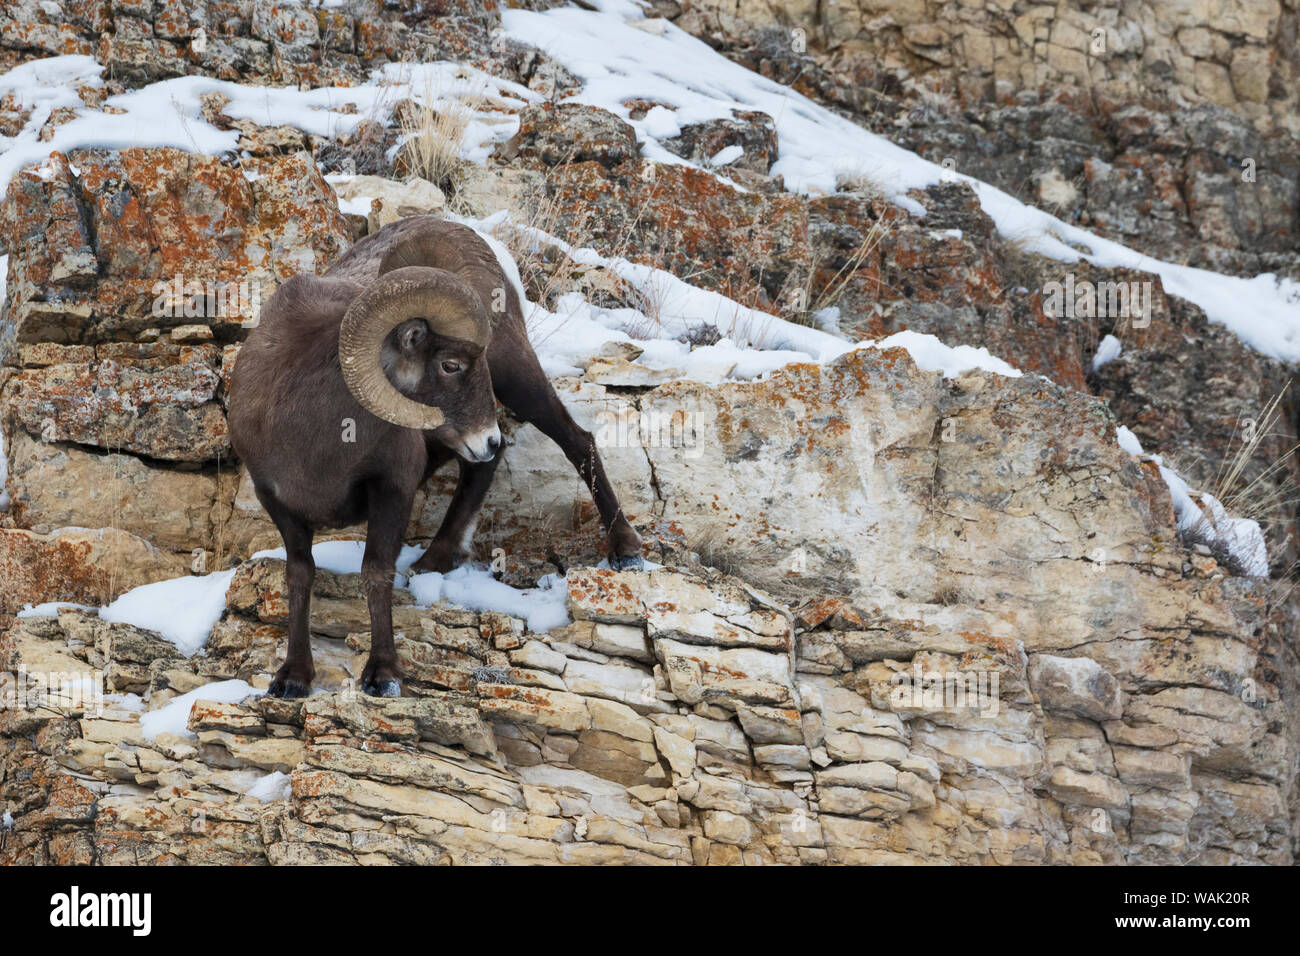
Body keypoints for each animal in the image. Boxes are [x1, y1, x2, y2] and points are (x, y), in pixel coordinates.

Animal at [229, 216, 643, 698]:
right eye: (451, 364)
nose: (489, 439)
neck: (314, 435)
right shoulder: (279, 503)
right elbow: (299, 576)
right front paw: (293, 677)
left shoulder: (392, 487)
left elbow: (376, 571)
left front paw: (384, 675)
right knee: (479, 469)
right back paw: (437, 558)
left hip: (519, 381)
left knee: (577, 442)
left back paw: (626, 550)